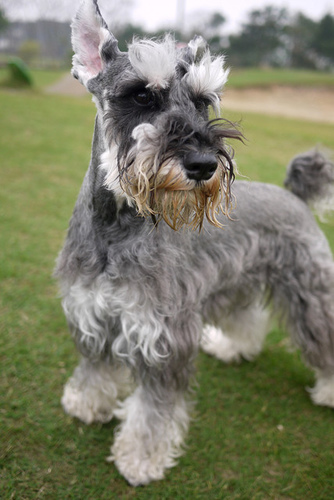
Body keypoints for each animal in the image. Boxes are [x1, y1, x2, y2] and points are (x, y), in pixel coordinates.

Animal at [56, 0, 334, 484]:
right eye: (142, 96)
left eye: (204, 102)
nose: (205, 164)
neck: (115, 232)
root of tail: (293, 196)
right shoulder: (90, 312)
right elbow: (94, 367)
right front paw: (86, 403)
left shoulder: (163, 337)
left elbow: (154, 410)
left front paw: (140, 458)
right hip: (239, 281)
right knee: (248, 319)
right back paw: (232, 347)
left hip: (310, 291)